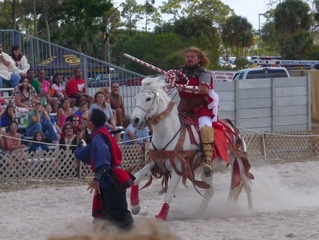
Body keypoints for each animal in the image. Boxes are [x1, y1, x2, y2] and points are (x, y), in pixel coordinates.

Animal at [129, 76, 254, 220]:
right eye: (136, 98)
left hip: (238, 160)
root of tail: (232, 127)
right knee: (209, 192)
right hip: (208, 171)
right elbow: (136, 177)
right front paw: (135, 206)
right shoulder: (156, 162)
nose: (134, 120)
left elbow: (169, 194)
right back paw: (197, 213)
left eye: (148, 98)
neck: (168, 131)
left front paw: (161, 216)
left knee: (247, 185)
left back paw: (251, 210)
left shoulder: (178, 168)